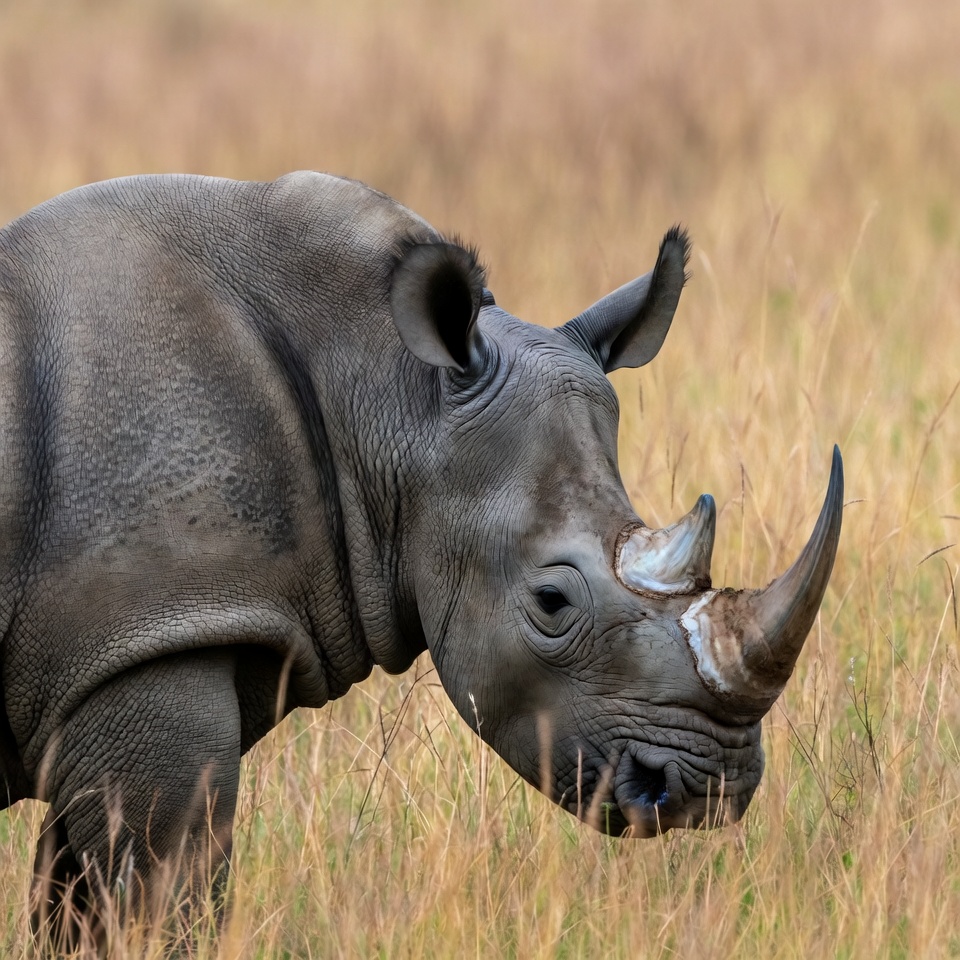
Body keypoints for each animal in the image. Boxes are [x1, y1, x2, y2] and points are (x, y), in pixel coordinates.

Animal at [0, 171, 842, 940]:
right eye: (552, 603)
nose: (711, 788)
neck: (388, 386)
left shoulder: (117, 660)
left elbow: (72, 907)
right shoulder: (148, 640)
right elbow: (164, 902)